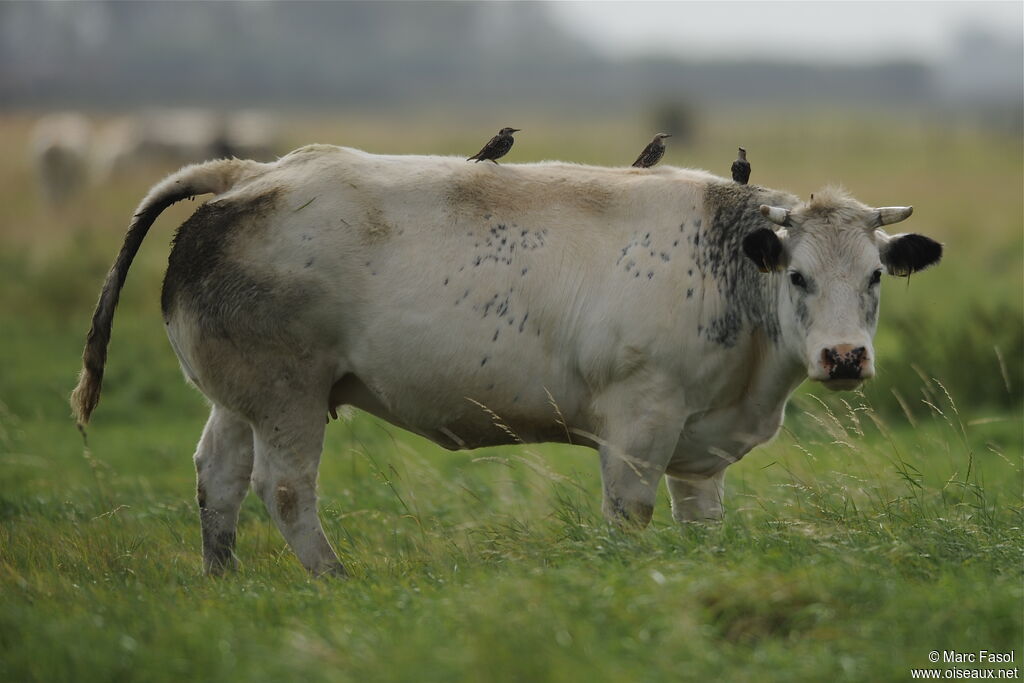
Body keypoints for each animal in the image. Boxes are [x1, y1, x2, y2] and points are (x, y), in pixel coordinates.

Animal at [68, 145, 937, 577]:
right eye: (798, 276)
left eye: (873, 277)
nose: (845, 357)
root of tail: (253, 174)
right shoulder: (639, 423)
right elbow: (630, 516)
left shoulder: (700, 446)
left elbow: (702, 524)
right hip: (287, 396)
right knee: (282, 489)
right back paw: (331, 577)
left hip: (238, 396)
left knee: (217, 476)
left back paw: (223, 579)